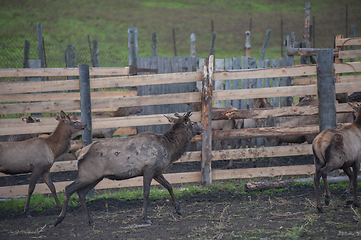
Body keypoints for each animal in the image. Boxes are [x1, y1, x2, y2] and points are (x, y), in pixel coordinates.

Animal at [55, 111, 202, 226]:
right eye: (192, 123)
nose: (201, 127)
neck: (169, 149)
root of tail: (80, 153)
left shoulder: (157, 171)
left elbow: (169, 186)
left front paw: (178, 209)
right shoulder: (149, 169)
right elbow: (146, 193)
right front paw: (145, 217)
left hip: (95, 177)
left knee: (81, 193)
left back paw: (90, 221)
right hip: (88, 175)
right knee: (68, 188)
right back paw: (59, 219)